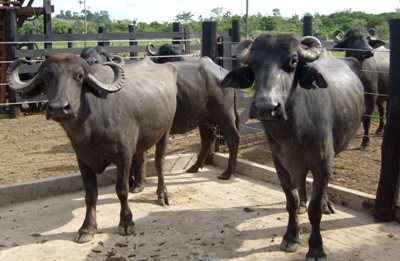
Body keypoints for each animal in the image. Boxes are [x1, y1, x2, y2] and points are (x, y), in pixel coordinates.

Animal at [5, 52, 178, 242]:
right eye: (46, 76)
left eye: (80, 76)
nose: (59, 107)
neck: (91, 127)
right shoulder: (83, 159)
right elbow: (90, 194)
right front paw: (87, 228)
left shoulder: (123, 156)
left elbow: (121, 190)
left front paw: (126, 222)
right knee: (142, 155)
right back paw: (139, 186)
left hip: (165, 130)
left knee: (159, 162)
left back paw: (162, 195)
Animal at [220, 33, 364, 258]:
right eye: (253, 63)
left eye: (293, 62)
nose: (266, 107)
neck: (294, 133)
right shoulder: (280, 163)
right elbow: (291, 201)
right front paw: (291, 236)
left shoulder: (324, 162)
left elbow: (315, 208)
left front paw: (316, 248)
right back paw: (304, 204)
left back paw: (325, 204)